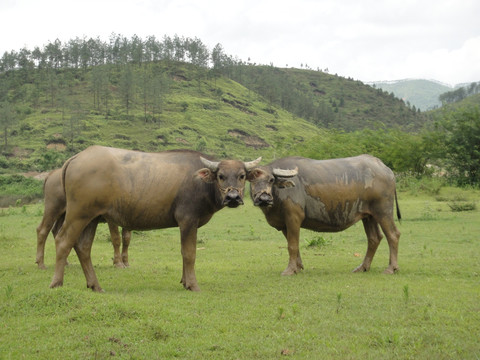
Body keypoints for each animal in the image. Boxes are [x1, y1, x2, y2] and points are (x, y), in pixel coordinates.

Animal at [49, 146, 260, 292]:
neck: (201, 183)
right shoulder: (188, 220)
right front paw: (192, 285)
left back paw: (95, 285)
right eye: (221, 176)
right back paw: (57, 283)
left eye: (242, 176)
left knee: (83, 247)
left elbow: (183, 253)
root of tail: (76, 158)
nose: (233, 197)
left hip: (91, 217)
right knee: (63, 241)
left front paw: (184, 281)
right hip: (78, 214)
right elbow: (189, 253)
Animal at [248, 155, 402, 276]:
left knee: (393, 235)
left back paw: (391, 268)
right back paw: (363, 267)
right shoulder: (284, 224)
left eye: (271, 180)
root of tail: (386, 169)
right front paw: (298, 267)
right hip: (368, 216)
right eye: (252, 180)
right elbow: (293, 246)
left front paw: (289, 270)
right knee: (374, 238)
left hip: (383, 212)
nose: (263, 198)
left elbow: (292, 245)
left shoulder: (293, 218)